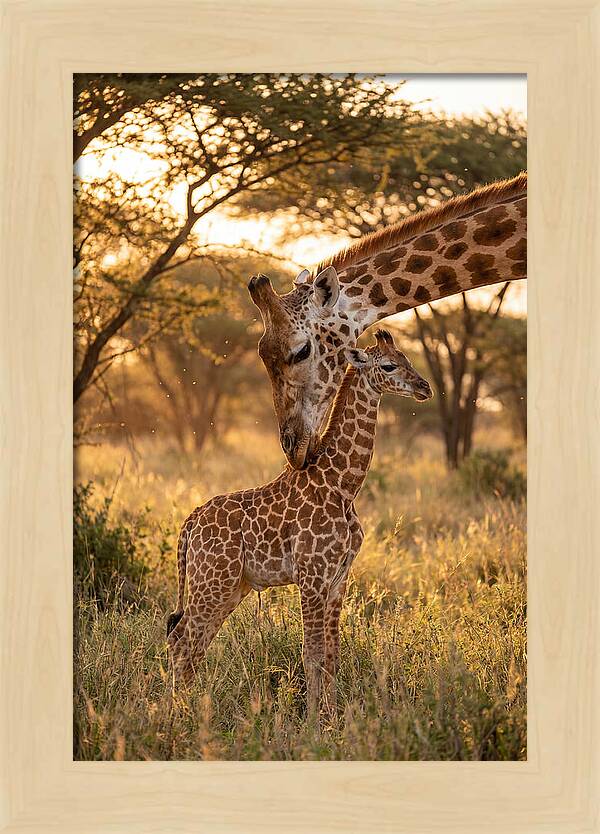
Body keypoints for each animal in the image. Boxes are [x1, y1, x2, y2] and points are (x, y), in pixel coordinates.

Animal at [166, 330, 432, 717]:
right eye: (388, 365)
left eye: (407, 358)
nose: (424, 387)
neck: (342, 484)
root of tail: (189, 524)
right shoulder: (311, 575)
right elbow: (312, 654)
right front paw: (312, 722)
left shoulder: (338, 578)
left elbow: (332, 655)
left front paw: (333, 718)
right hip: (212, 581)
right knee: (182, 640)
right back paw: (176, 715)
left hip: (230, 586)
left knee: (191, 641)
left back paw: (188, 710)